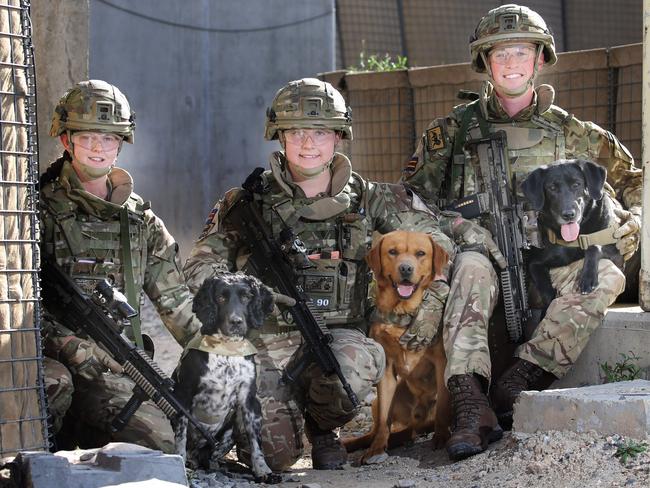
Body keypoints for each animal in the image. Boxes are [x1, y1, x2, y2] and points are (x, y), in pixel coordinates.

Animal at [170, 272, 278, 482]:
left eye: (246, 296)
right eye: (221, 298)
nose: (236, 322)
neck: (227, 349)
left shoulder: (249, 401)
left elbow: (256, 442)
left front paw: (263, 470)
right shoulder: (183, 394)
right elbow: (181, 435)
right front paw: (179, 463)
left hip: (234, 426)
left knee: (214, 452)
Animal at [344, 231, 450, 464]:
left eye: (421, 253)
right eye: (392, 252)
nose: (406, 268)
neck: (402, 311)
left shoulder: (441, 362)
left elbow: (443, 406)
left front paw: (442, 436)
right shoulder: (387, 371)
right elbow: (385, 419)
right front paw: (376, 449)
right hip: (378, 402)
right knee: (377, 429)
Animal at [520, 160, 620, 312]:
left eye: (577, 184)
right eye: (552, 188)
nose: (568, 215)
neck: (573, 239)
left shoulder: (616, 255)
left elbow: (594, 246)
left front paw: (588, 278)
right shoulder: (534, 263)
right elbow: (545, 289)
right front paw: (549, 304)